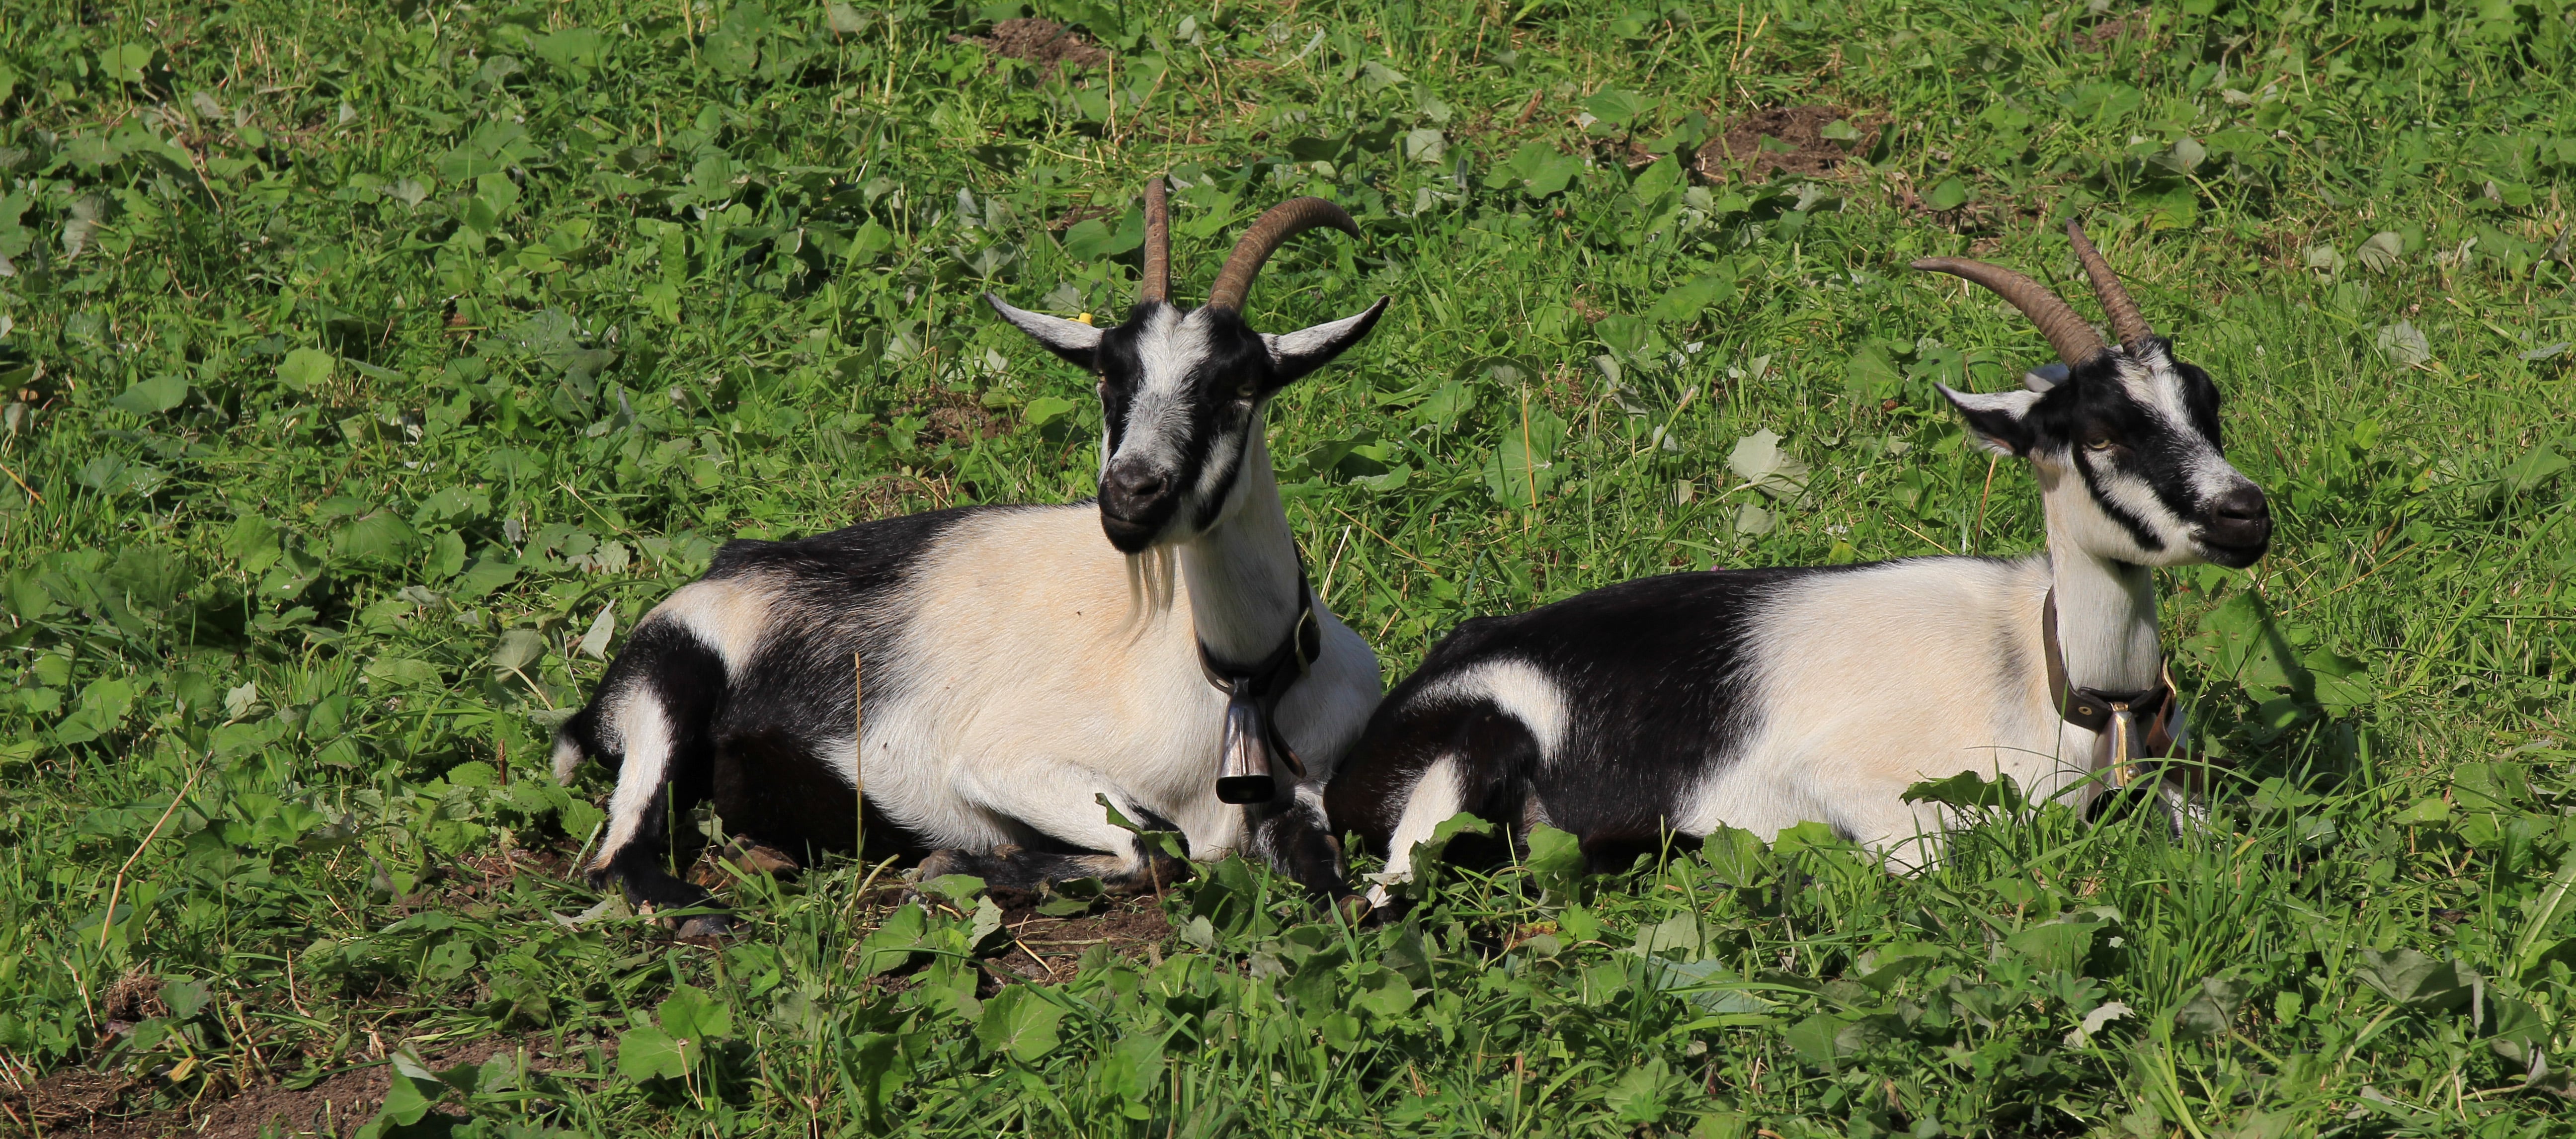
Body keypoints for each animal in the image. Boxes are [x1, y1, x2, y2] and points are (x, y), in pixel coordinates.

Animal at [555, 182, 1388, 937]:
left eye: (1241, 385)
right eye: (1108, 375)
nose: (1130, 493)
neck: (1231, 678)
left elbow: (1330, 882)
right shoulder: (1005, 763)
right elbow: (1155, 849)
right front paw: (961, 864)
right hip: (670, 679)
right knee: (618, 854)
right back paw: (704, 915)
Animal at [1321, 223, 2272, 907]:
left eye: (2207, 402)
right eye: (2099, 433)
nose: (2244, 514)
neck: (2047, 677)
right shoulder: (1855, 787)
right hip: (1464, 759)